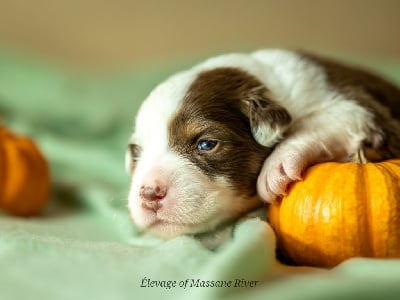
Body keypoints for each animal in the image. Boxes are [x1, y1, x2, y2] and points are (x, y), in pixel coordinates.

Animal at [126, 49, 400, 241]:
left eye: (206, 144)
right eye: (137, 154)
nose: (149, 193)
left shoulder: (361, 108)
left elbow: (316, 122)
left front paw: (275, 168)